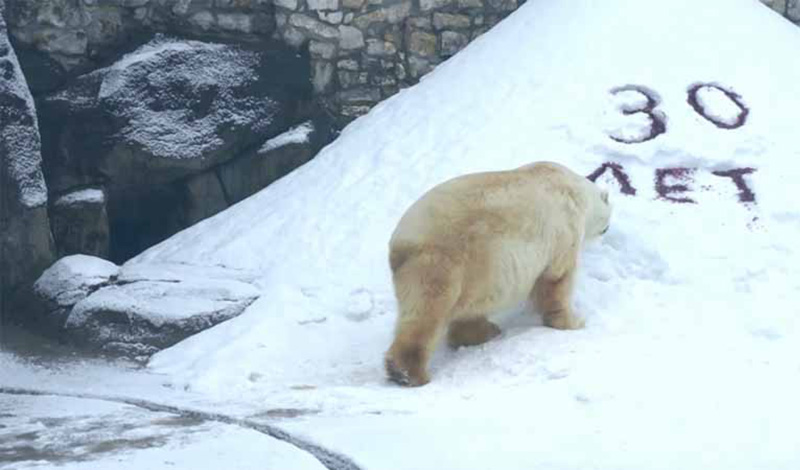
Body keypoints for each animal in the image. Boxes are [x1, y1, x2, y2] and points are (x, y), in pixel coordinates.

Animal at [384, 161, 608, 386]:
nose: (607, 228)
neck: (574, 189)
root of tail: (399, 245)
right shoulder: (564, 231)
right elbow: (557, 279)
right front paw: (574, 321)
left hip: (475, 267)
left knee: (466, 307)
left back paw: (486, 331)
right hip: (441, 261)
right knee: (427, 312)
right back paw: (407, 373)